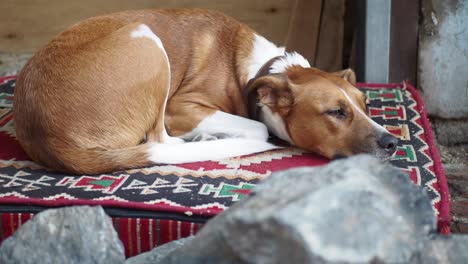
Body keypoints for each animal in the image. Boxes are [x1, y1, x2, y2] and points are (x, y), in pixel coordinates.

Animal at [12, 8, 396, 173]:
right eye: (336, 112)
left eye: (366, 106)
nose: (392, 143)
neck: (266, 67)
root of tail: (48, 138)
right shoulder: (179, 107)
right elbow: (257, 128)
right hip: (147, 42)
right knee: (160, 140)